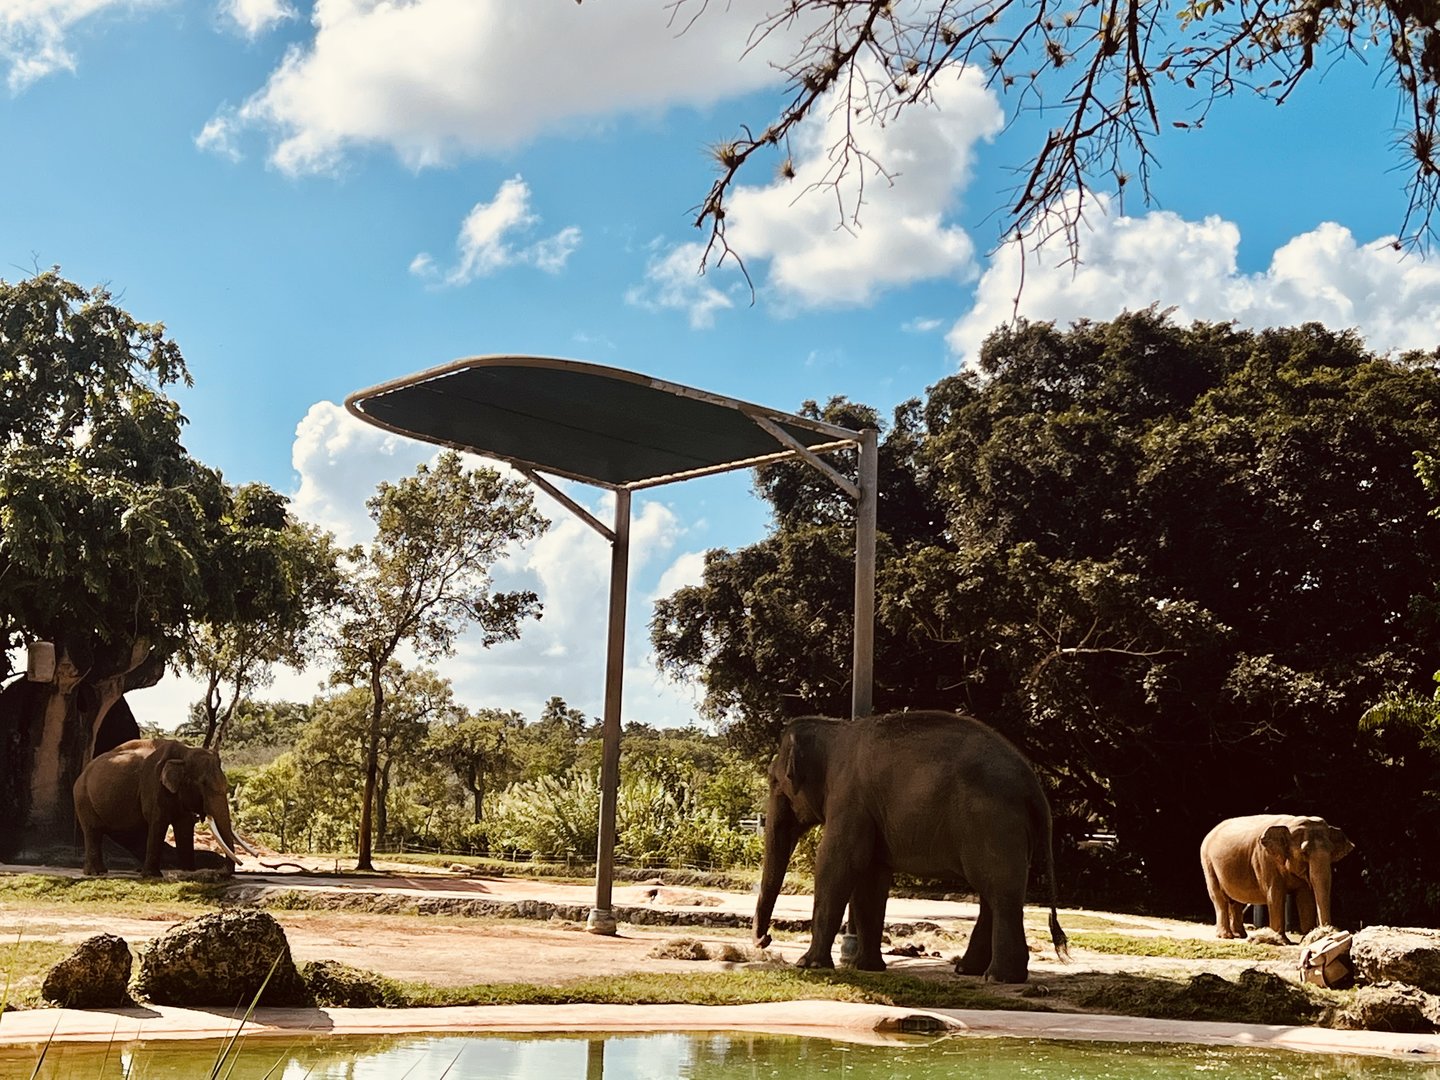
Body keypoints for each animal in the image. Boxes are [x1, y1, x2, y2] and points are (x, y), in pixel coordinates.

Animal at [72, 737, 258, 878]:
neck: (185, 753)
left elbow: (184, 825)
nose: (221, 872)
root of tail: (82, 773)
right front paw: (152, 876)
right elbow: (158, 821)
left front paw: (188, 872)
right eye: (203, 785)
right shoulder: (153, 784)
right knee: (92, 830)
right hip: (82, 797)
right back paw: (95, 873)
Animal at [752, 710, 1069, 984]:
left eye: (774, 782)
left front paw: (808, 965)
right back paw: (969, 970)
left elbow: (836, 864)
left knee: (1000, 891)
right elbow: (871, 878)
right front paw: (866, 968)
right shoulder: (868, 812)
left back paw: (999, 977)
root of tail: (1035, 788)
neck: (834, 729)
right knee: (992, 892)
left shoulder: (849, 800)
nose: (764, 940)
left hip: (993, 824)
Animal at [1200, 814, 1354, 943]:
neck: (1290, 824)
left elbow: (1305, 897)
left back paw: (1241, 935)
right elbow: (1276, 894)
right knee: (1219, 898)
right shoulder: (1266, 859)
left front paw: (1306, 939)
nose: (1327, 933)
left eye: (1332, 852)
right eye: (1304, 852)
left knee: (1237, 900)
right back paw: (1226, 936)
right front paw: (1281, 941)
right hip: (1207, 862)